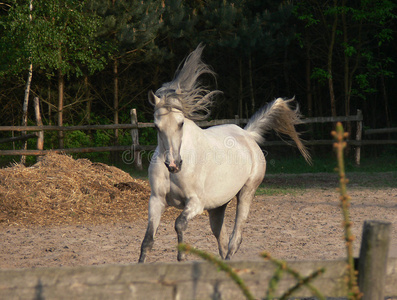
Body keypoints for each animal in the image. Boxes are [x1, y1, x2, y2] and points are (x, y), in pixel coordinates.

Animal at [138, 45, 310, 262]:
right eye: (156, 126)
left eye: (181, 123)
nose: (173, 165)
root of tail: (247, 134)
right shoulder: (156, 201)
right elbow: (147, 241)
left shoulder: (196, 203)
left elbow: (179, 224)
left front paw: (182, 257)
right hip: (217, 207)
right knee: (221, 237)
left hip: (246, 193)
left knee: (234, 239)